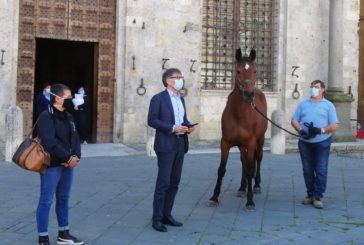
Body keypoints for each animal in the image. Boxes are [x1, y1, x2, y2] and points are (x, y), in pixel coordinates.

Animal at [210, 48, 268, 211]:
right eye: (238, 71)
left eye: (255, 71)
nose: (249, 94)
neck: (239, 114)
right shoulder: (225, 142)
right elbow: (221, 169)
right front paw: (214, 197)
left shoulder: (251, 142)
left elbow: (250, 169)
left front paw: (250, 201)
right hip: (241, 145)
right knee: (243, 161)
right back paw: (242, 188)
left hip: (260, 140)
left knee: (258, 159)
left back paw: (256, 185)